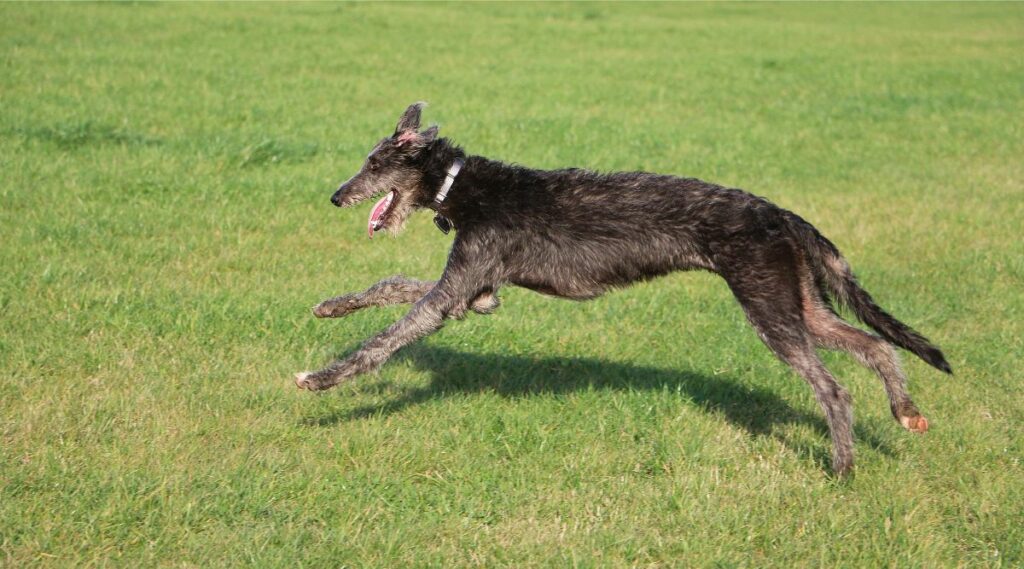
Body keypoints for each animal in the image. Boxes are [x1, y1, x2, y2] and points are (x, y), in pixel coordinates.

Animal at [296, 102, 950, 474]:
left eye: (374, 164)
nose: (334, 197)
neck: (463, 185)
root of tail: (783, 215)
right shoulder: (478, 293)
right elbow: (394, 284)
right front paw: (331, 307)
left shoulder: (457, 291)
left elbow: (387, 339)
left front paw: (321, 380)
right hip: (797, 299)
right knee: (875, 345)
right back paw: (906, 411)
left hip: (768, 306)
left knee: (833, 387)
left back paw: (842, 467)